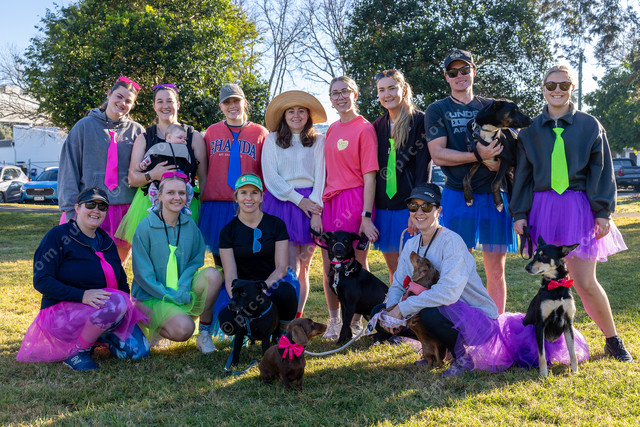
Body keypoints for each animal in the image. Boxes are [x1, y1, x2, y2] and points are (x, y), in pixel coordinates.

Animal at [523, 237, 580, 377]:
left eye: (544, 256)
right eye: (534, 254)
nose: (527, 267)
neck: (556, 286)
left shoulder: (568, 323)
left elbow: (573, 352)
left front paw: (575, 371)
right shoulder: (540, 324)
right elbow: (542, 354)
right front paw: (543, 374)